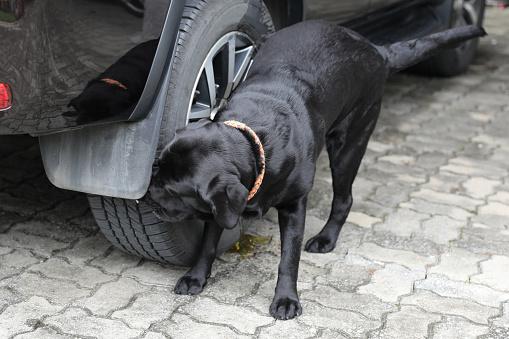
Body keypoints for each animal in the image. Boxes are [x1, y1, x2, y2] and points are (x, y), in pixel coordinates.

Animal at [148, 22, 484, 320]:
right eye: (157, 167)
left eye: (173, 190)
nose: (148, 195)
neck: (255, 144)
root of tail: (375, 49)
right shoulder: (220, 209)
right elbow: (207, 243)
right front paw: (195, 277)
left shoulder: (294, 205)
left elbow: (289, 258)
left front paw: (286, 299)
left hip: (349, 146)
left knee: (344, 199)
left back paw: (326, 238)